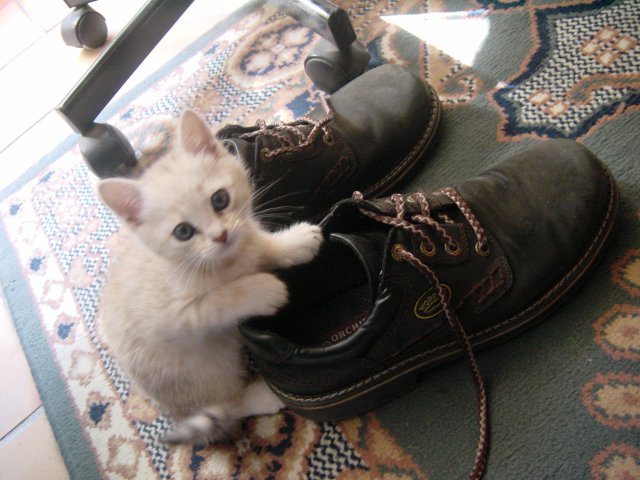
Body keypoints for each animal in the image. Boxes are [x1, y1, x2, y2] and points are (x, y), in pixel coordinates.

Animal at [97, 110, 322, 444]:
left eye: (220, 200)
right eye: (183, 232)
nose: (221, 235)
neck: (225, 263)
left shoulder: (246, 238)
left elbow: (259, 245)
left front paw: (292, 243)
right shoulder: (173, 315)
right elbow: (220, 301)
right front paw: (264, 289)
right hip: (205, 370)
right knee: (227, 406)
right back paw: (259, 397)